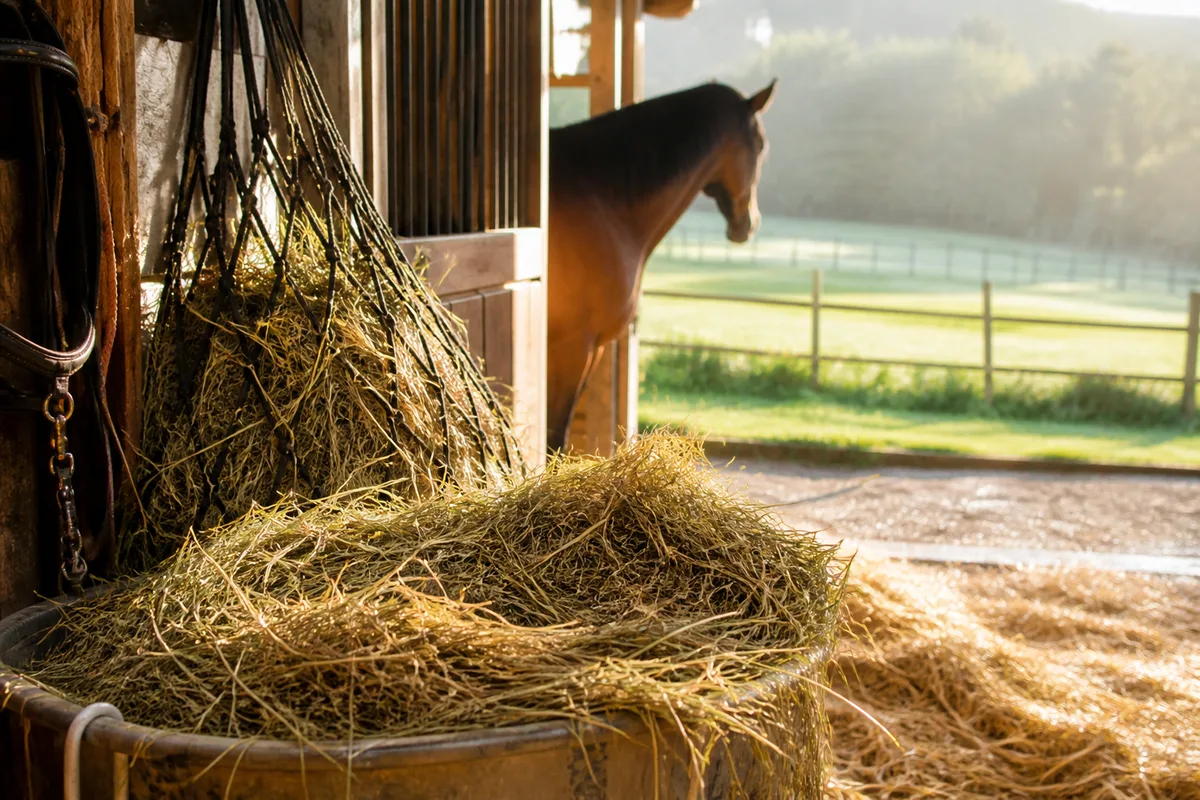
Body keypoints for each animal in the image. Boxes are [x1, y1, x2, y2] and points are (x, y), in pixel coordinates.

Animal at [546, 79, 777, 452]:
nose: (749, 224)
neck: (603, 201)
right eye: (761, 145)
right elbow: (555, 435)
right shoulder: (573, 346)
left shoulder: (592, 348)